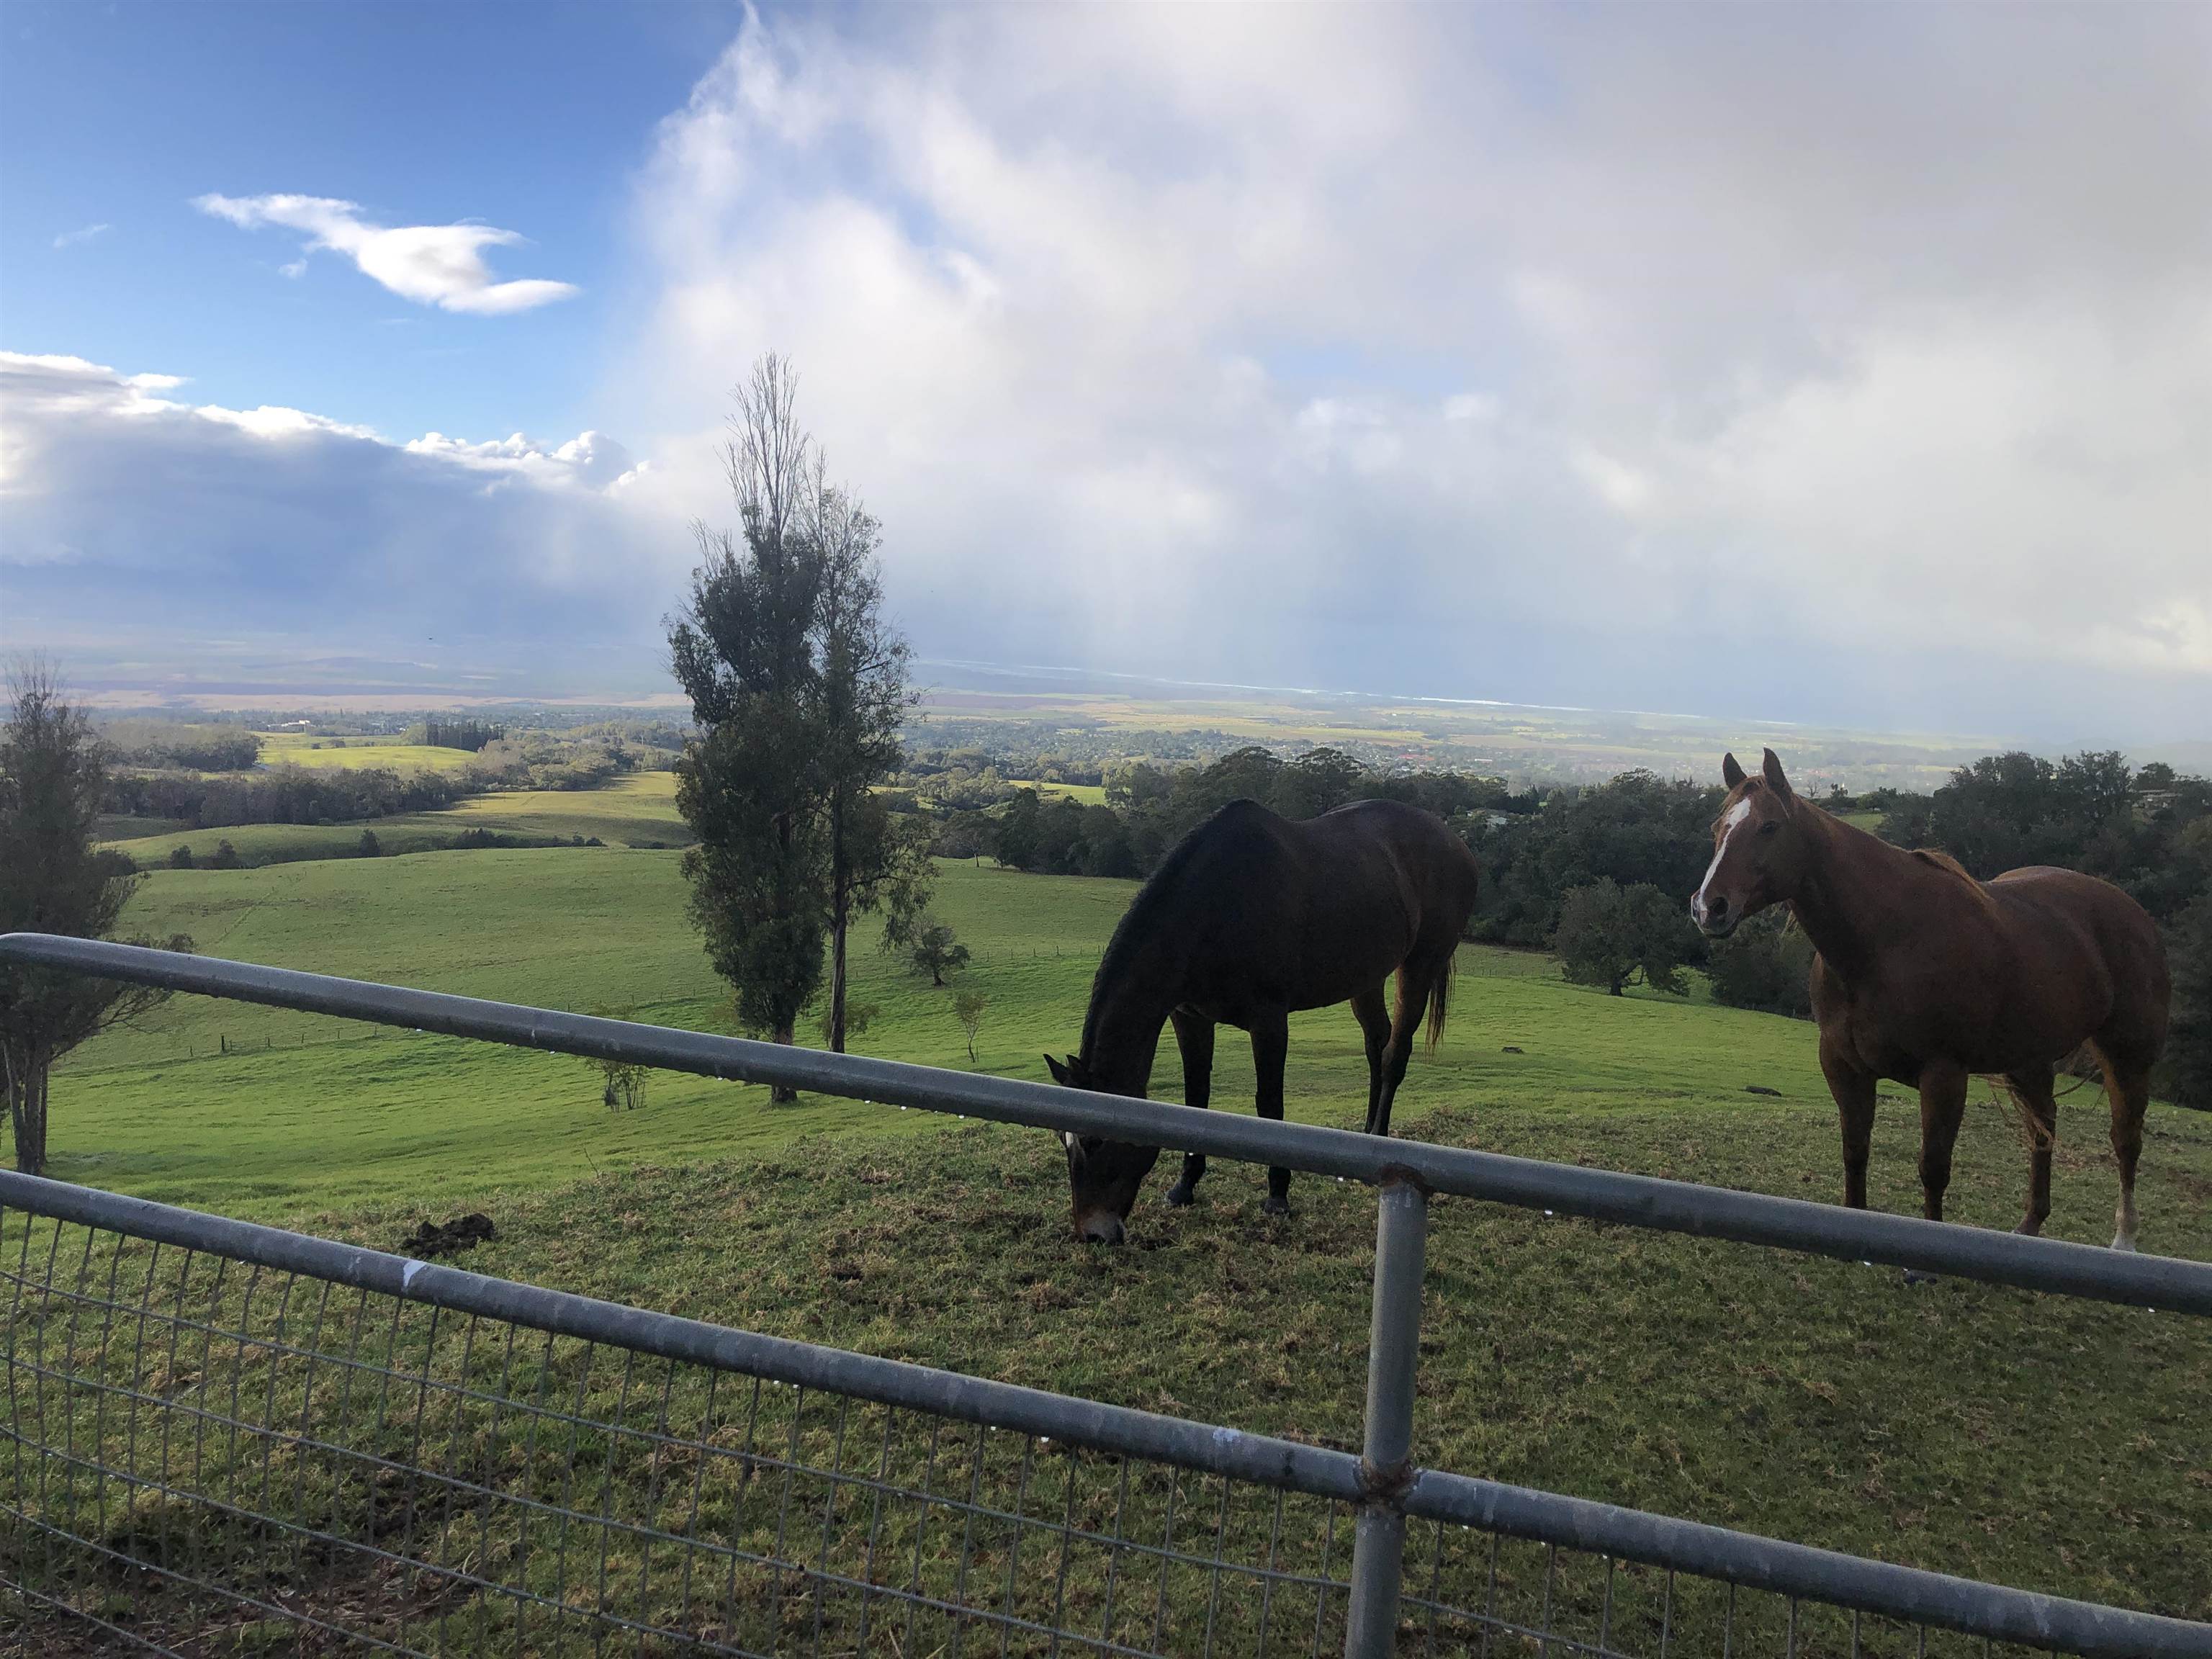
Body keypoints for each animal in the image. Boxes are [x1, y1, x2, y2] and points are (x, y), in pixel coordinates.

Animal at [1039, 801, 1486, 1247]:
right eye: (1064, 1140)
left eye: (1095, 1140)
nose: (1092, 1234)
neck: (1214, 909)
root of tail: (1457, 844)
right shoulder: (1189, 1018)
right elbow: (1195, 1099)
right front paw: (1185, 1185)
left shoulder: (1269, 1022)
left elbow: (1270, 1105)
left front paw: (1277, 1196)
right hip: (1366, 978)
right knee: (1376, 1044)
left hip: (1419, 966)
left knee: (1394, 1053)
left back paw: (1376, 1137)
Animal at [1690, 752, 2159, 1247]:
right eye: (1718, 826)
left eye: (1769, 827)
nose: (1708, 907)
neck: (1885, 942)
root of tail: (2132, 910)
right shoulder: (1844, 1066)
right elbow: (1855, 1152)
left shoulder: (1944, 1075)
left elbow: (1933, 1170)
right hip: (2029, 1057)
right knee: (2043, 1126)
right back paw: (2031, 1223)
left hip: (2127, 1056)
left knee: (2125, 1140)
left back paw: (2124, 1239)